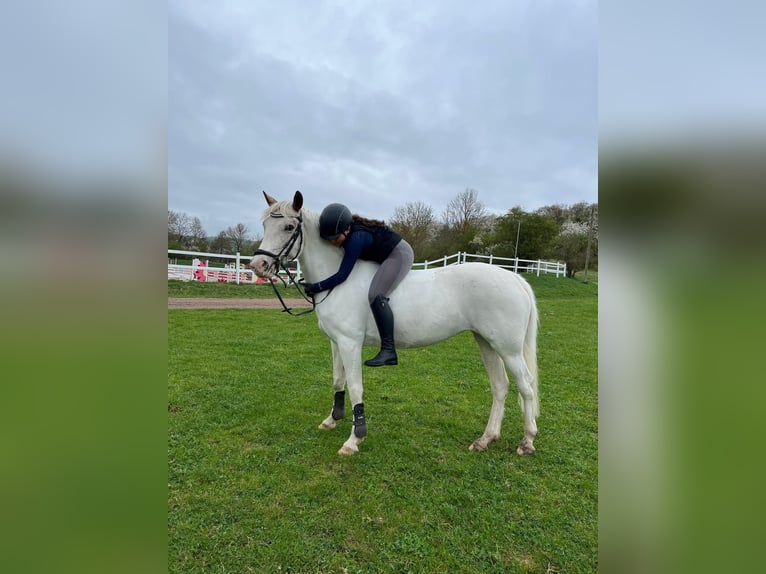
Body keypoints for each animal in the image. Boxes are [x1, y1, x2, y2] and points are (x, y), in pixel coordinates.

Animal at [249, 191, 539, 456]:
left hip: (508, 349)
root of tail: (515, 278)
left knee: (525, 385)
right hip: (487, 342)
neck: (338, 279)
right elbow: (337, 381)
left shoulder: (350, 344)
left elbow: (355, 387)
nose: (257, 265)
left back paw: (527, 441)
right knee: (500, 386)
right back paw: (486, 439)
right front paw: (332, 419)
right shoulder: (336, 343)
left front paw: (355, 438)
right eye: (264, 225)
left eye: (288, 227)